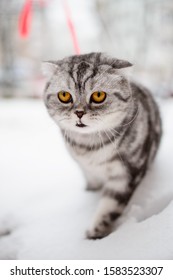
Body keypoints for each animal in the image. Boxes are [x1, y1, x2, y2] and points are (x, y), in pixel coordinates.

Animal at [42, 53, 162, 240]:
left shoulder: (125, 175)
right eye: (64, 95)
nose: (79, 112)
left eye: (98, 95)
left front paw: (95, 233)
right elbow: (91, 181)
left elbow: (110, 207)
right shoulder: (85, 168)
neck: (88, 146)